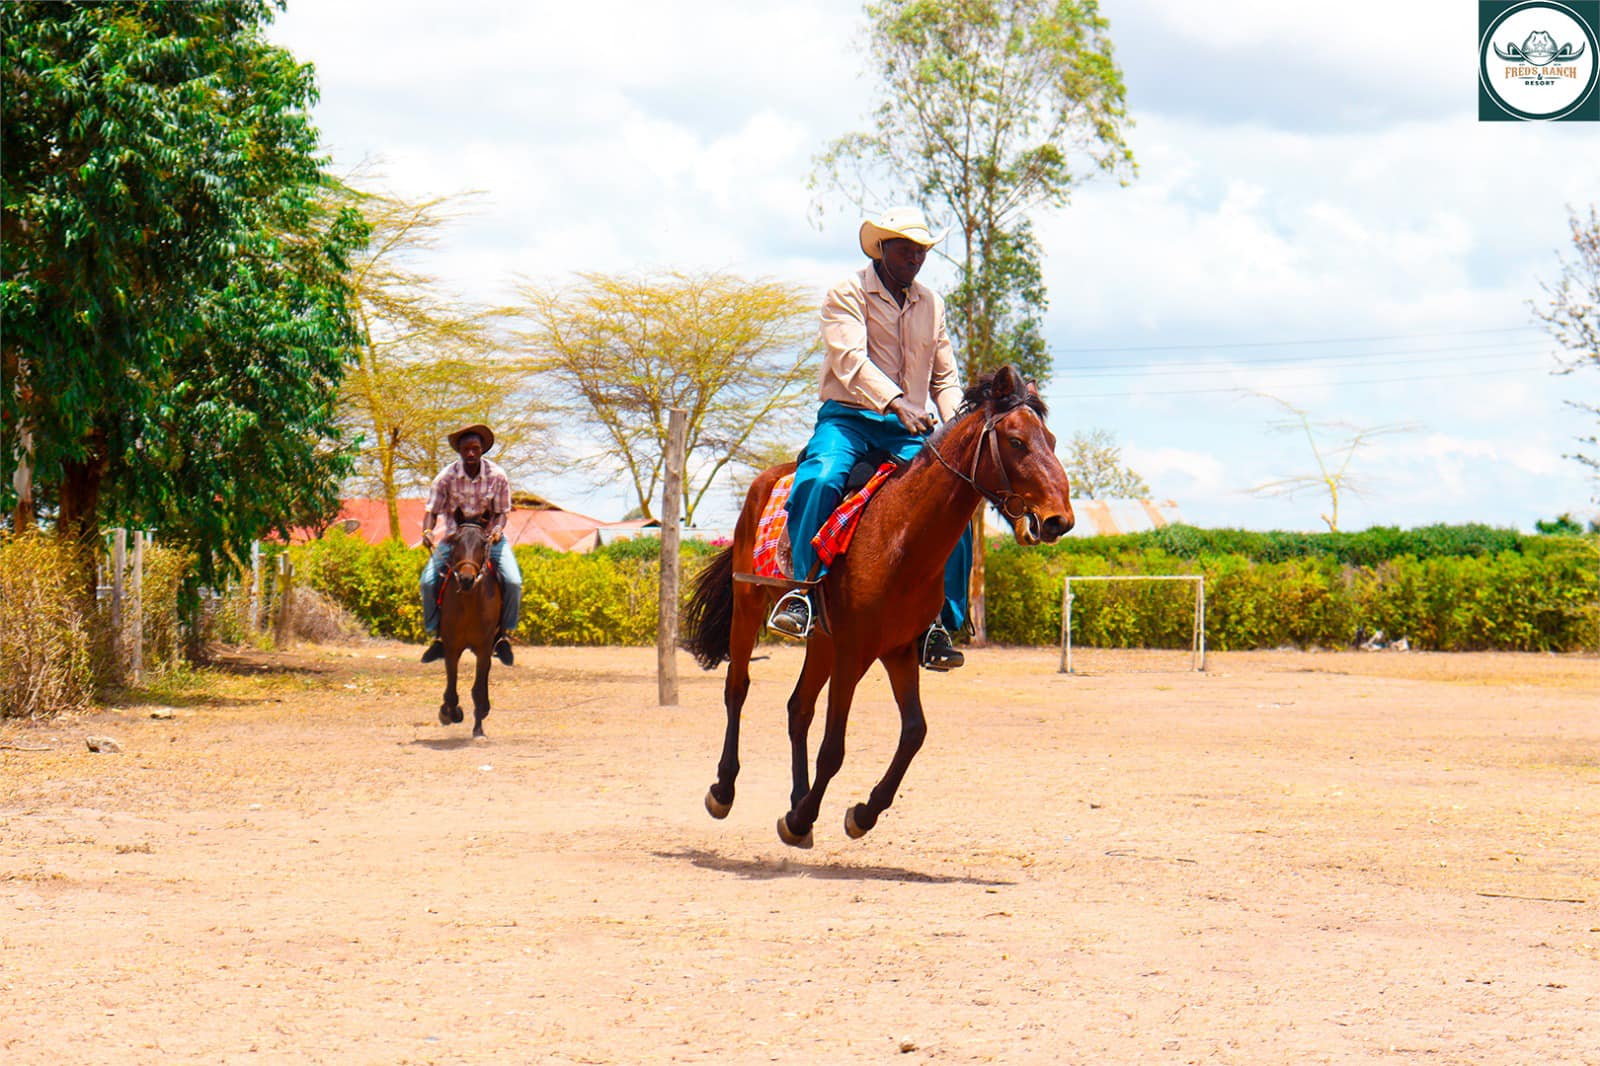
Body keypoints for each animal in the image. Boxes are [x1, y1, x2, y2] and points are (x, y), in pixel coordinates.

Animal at [436, 512, 503, 738]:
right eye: (456, 540)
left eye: (483, 543)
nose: (466, 578)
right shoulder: (451, 647)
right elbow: (451, 689)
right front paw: (450, 712)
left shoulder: (483, 648)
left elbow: (478, 689)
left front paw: (479, 729)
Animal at [682, 365, 1075, 847]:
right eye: (1017, 441)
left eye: (1050, 440)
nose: (1059, 519)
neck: (900, 534)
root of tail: (763, 481)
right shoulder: (855, 652)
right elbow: (834, 748)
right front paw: (803, 819)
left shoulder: (898, 650)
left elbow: (914, 733)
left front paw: (858, 813)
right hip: (749, 606)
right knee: (737, 689)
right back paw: (724, 790)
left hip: (822, 640)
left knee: (799, 709)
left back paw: (795, 798)